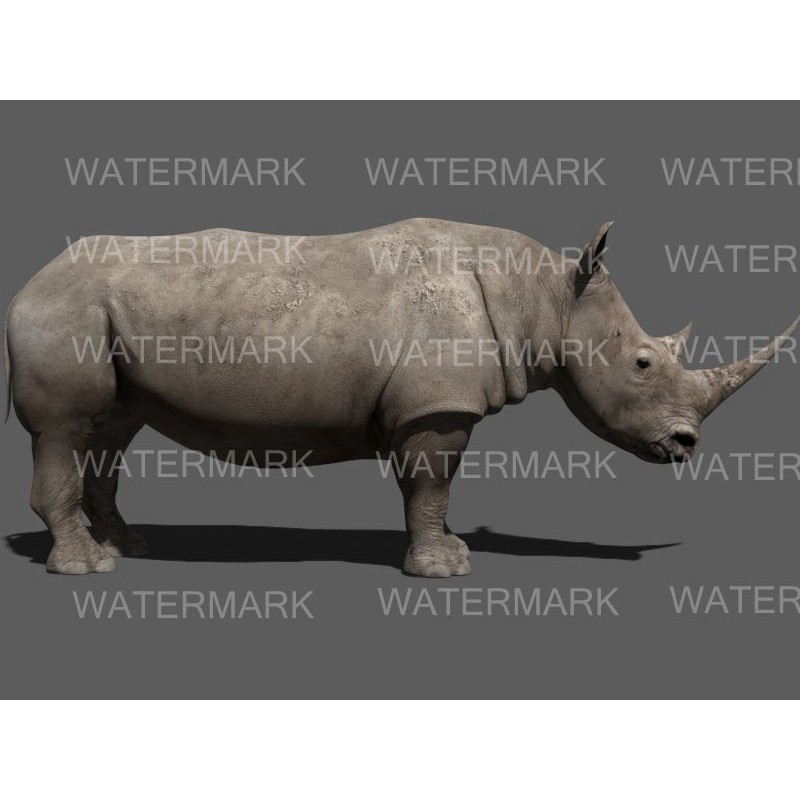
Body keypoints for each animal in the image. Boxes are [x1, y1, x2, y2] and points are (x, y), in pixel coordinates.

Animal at [4, 218, 797, 577]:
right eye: (641, 363)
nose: (688, 445)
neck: (546, 293)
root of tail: (29, 280)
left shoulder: (430, 401)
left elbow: (428, 488)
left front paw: (448, 552)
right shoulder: (437, 405)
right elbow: (431, 483)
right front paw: (444, 568)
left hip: (102, 317)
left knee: (111, 429)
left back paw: (129, 546)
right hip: (64, 310)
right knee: (65, 430)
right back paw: (88, 567)